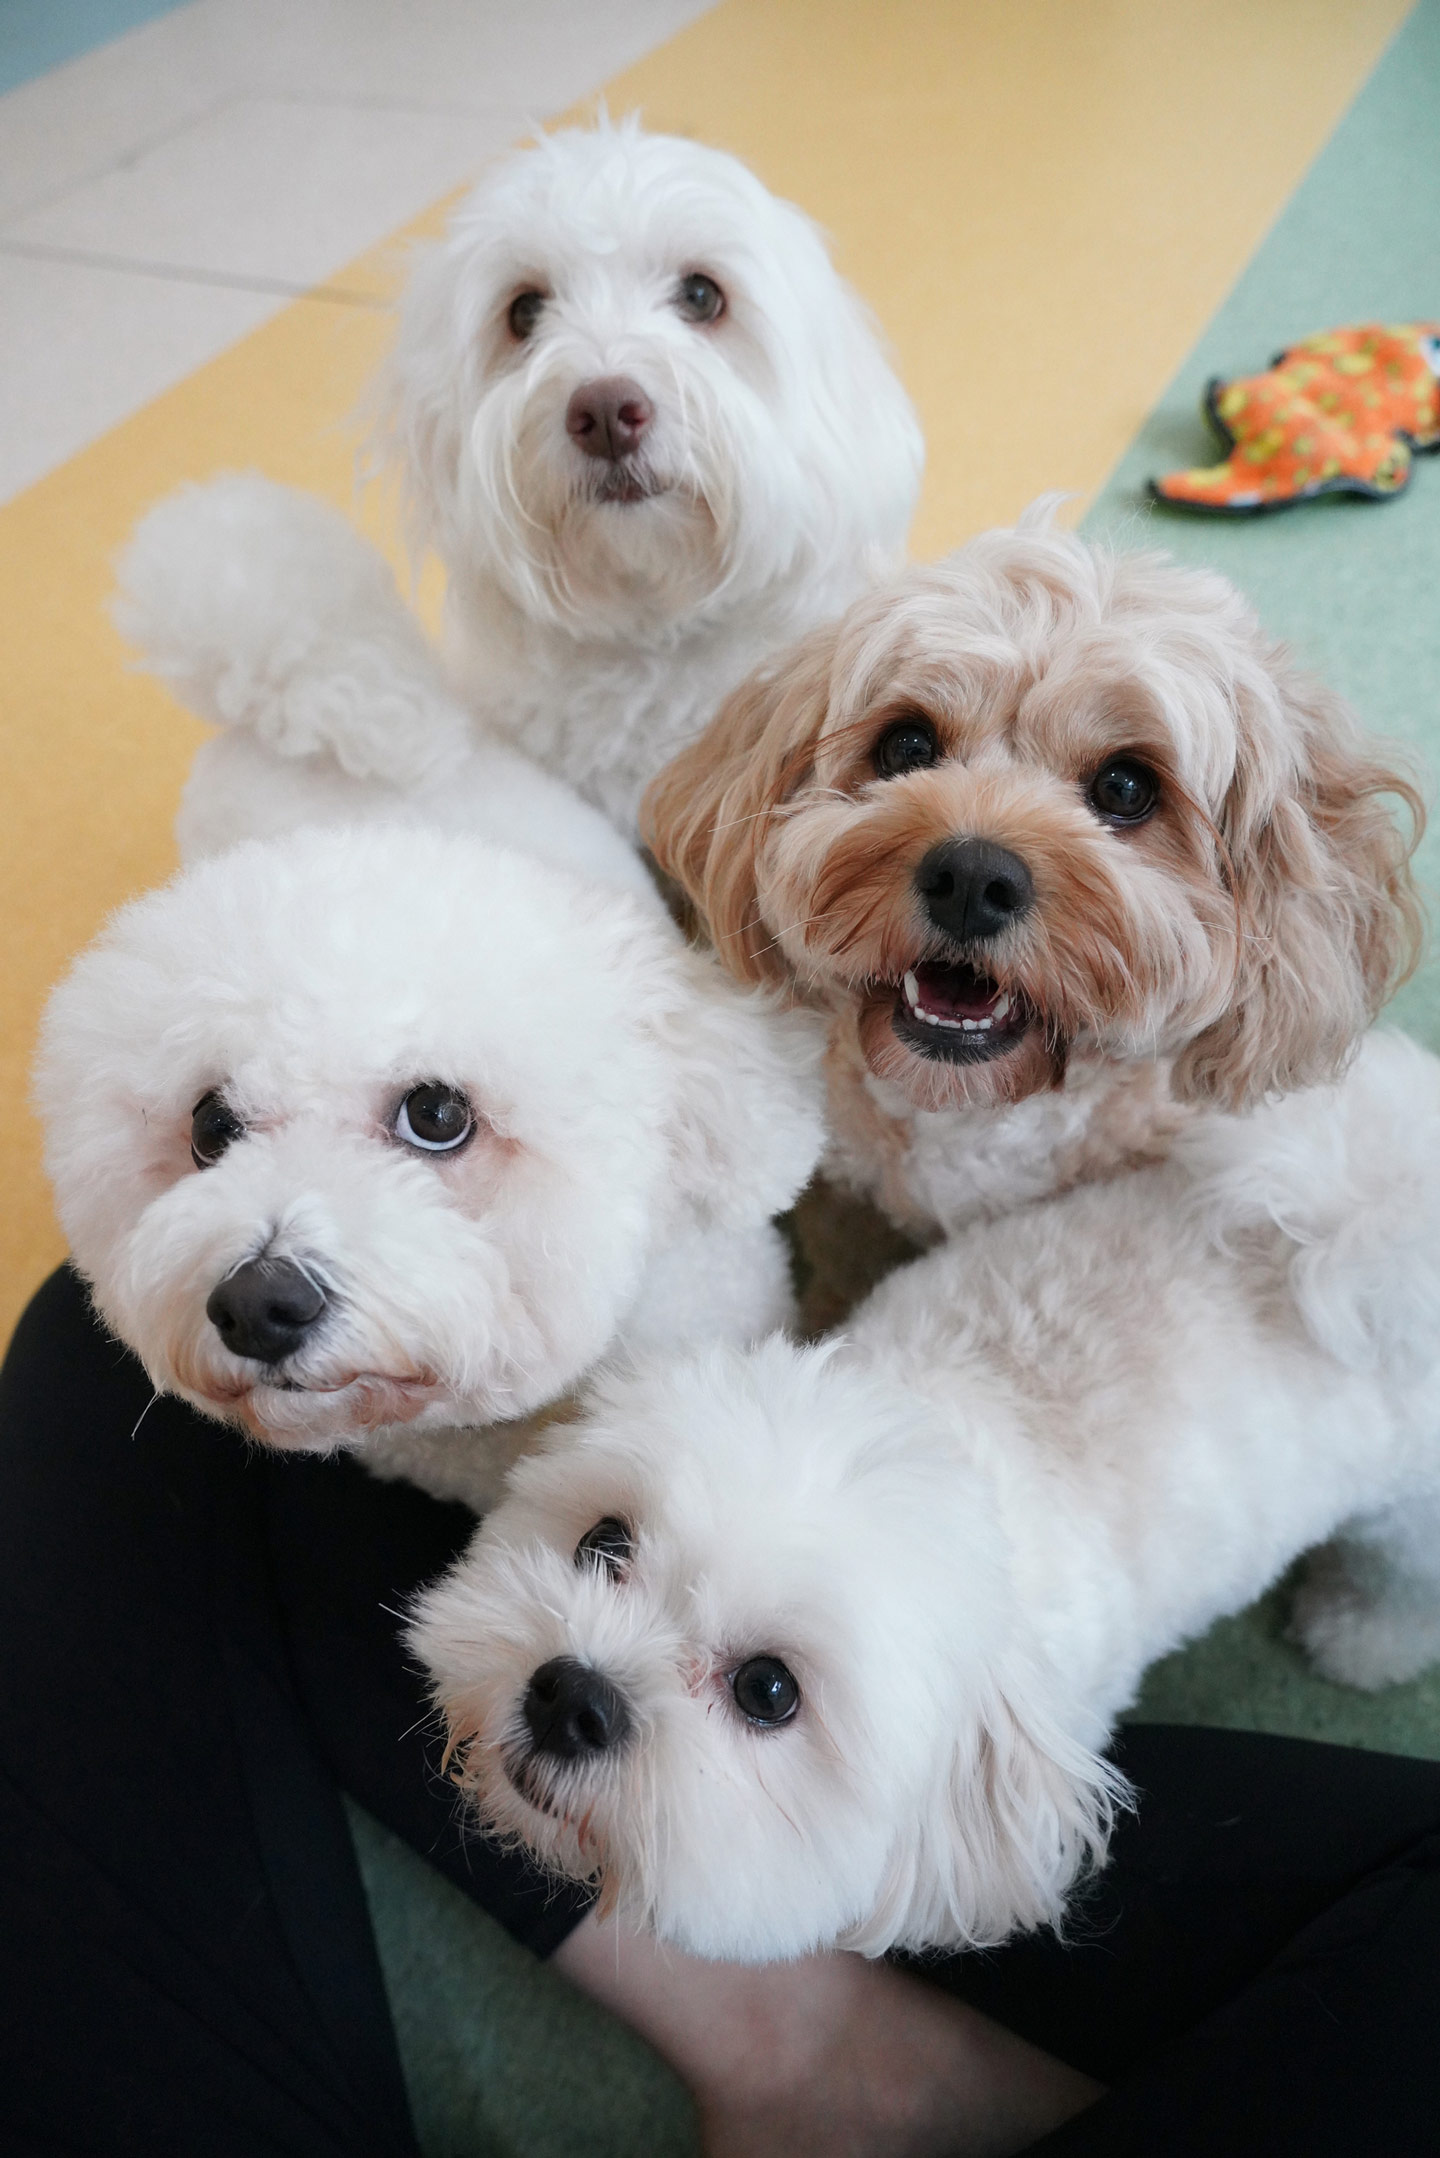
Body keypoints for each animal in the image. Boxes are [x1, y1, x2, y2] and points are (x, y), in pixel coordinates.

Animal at [410, 1027, 1440, 1959]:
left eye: (768, 1691)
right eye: (604, 1543)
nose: (571, 1698)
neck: (954, 1434)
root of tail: (1382, 1209)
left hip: (1409, 1523)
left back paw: (1359, 1637)